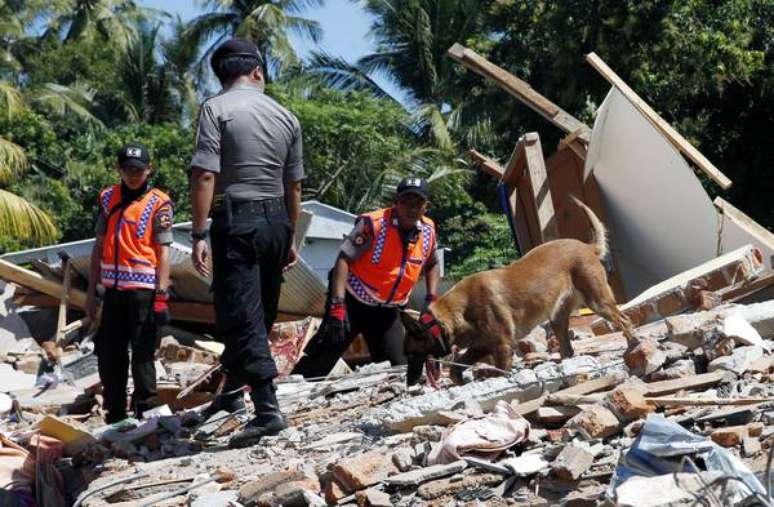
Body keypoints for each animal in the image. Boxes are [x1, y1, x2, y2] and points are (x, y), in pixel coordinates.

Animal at [404, 196, 640, 386]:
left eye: (412, 353)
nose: (410, 383)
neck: (458, 309)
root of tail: (587, 246)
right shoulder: (482, 345)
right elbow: (456, 366)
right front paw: (459, 381)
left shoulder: (502, 346)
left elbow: (500, 370)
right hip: (558, 318)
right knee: (568, 348)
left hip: (597, 301)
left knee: (624, 320)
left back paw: (633, 346)